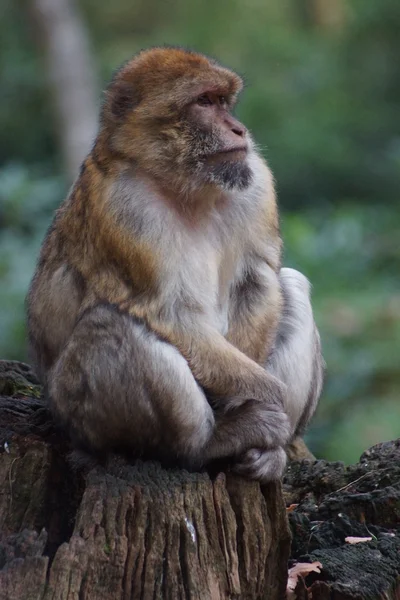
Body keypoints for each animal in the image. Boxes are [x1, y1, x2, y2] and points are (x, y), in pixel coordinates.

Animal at [27, 47, 322, 482]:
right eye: (204, 102)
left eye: (223, 101)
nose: (239, 130)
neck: (183, 185)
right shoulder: (123, 209)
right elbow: (170, 311)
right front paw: (266, 399)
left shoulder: (254, 180)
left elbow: (257, 281)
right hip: (79, 418)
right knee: (111, 323)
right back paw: (210, 443)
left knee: (293, 285)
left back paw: (270, 452)